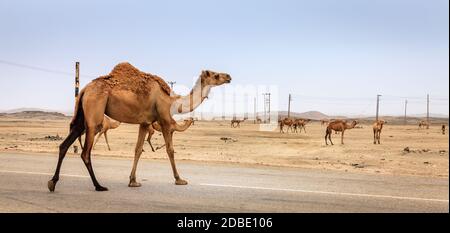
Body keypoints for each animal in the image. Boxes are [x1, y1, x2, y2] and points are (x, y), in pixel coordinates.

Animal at [48, 62, 232, 191]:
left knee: (64, 145)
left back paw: (52, 183)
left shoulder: (145, 123)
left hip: (81, 115)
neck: (172, 101)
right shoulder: (164, 120)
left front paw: (133, 181)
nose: (229, 76)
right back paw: (99, 186)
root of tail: (85, 89)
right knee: (85, 152)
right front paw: (179, 179)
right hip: (94, 115)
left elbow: (138, 149)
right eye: (216, 75)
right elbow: (170, 150)